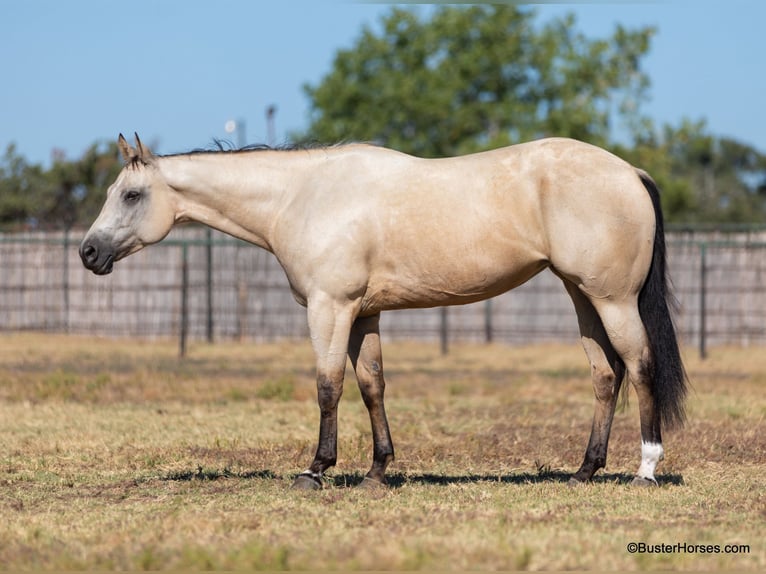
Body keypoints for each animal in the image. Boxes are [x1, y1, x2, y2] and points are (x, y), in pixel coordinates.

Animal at [80, 133, 687, 489]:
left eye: (130, 195)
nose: (88, 252)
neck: (302, 195)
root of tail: (630, 171)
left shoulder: (329, 309)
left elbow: (328, 385)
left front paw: (315, 470)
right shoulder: (364, 315)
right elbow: (372, 385)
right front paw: (377, 470)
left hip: (612, 300)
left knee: (639, 367)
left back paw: (646, 469)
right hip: (582, 296)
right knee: (605, 376)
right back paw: (584, 470)